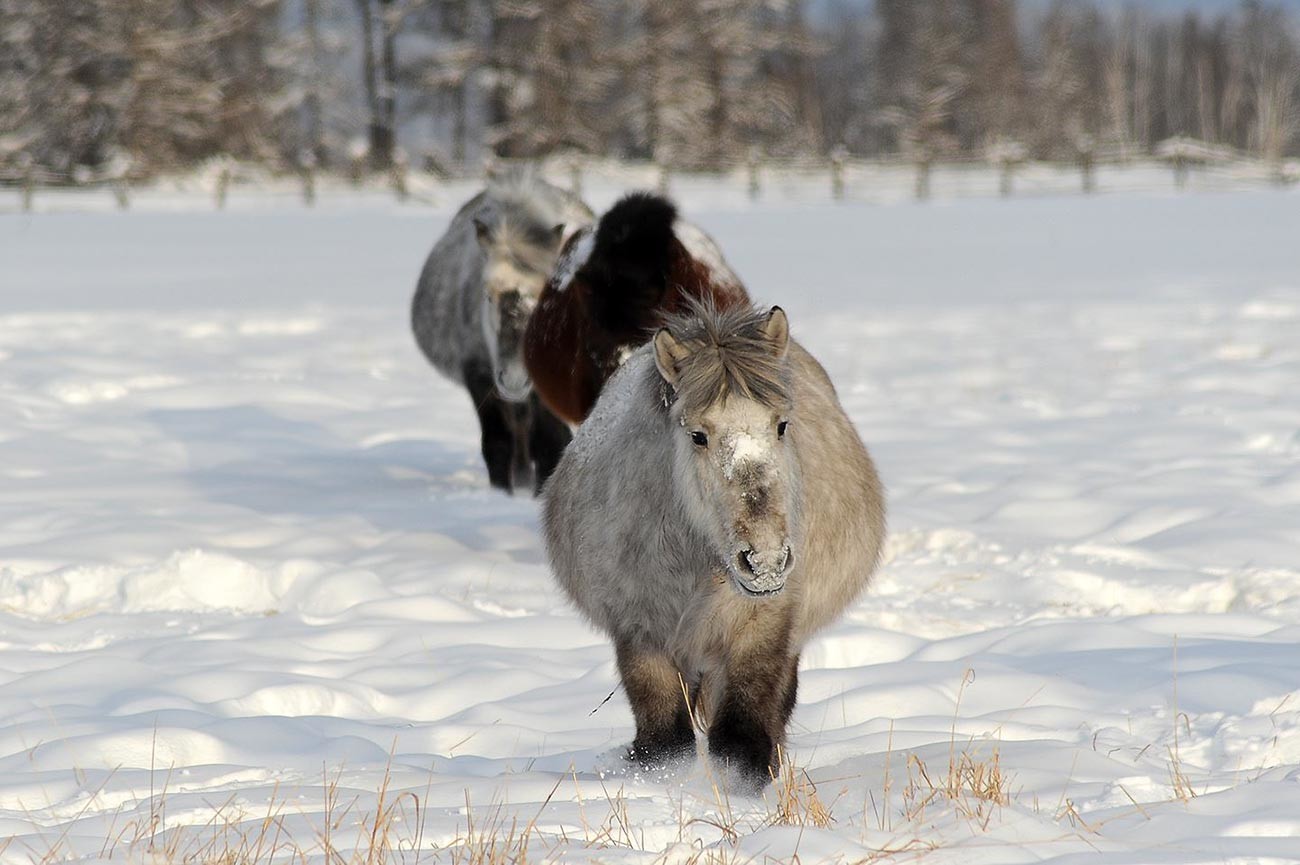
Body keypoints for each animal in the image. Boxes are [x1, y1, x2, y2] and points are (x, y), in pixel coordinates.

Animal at [410, 175, 595, 491]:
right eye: (487, 294)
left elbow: (550, 444)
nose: (515, 377)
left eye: (549, 294)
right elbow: (496, 444)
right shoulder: (479, 376)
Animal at [543, 301, 889, 790]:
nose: (764, 561)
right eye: (697, 435)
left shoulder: (761, 628)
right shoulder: (640, 633)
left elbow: (741, 739)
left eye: (781, 425)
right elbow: (664, 741)